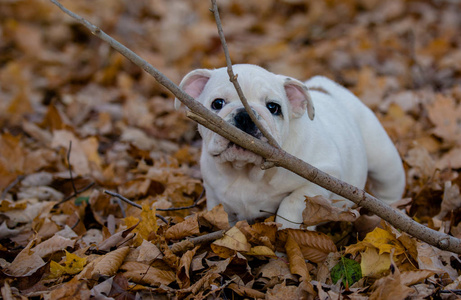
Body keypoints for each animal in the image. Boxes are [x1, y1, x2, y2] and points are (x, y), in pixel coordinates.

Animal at [174, 65, 404, 227]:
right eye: (217, 104)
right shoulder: (214, 194)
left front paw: (287, 233)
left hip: (384, 159)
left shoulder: (323, 175)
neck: (247, 171)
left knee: (389, 185)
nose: (245, 116)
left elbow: (291, 204)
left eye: (273, 107)